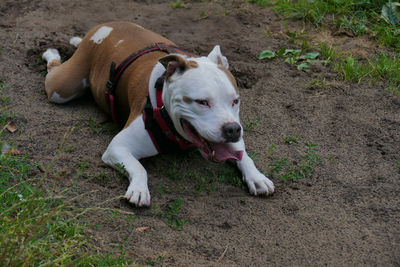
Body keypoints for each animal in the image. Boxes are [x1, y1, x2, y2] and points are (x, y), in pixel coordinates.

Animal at [43, 22, 276, 208]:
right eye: (202, 102)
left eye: (235, 101)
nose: (232, 130)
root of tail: (105, 26)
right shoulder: (118, 147)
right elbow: (139, 168)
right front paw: (139, 189)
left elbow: (243, 155)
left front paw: (256, 176)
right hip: (61, 88)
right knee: (53, 71)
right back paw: (51, 52)